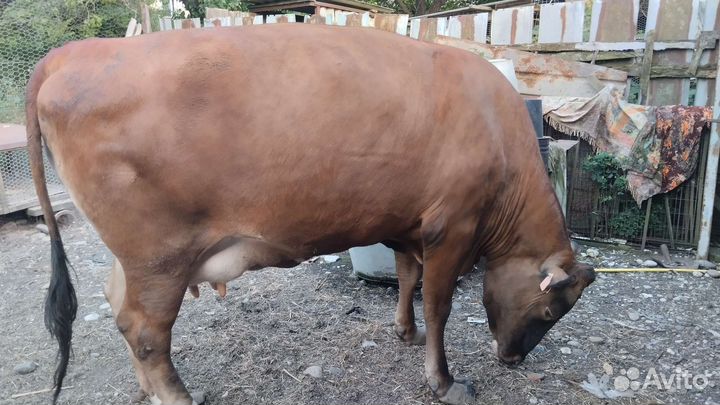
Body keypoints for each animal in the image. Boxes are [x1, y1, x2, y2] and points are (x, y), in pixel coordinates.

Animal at [27, 23, 595, 405]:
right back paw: (177, 396)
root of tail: (74, 52)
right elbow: (439, 305)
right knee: (145, 330)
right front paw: (443, 379)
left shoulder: (407, 223)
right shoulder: (452, 226)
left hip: (136, 256)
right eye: (550, 312)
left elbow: (408, 279)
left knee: (116, 303)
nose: (513, 358)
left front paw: (404, 332)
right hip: (159, 254)